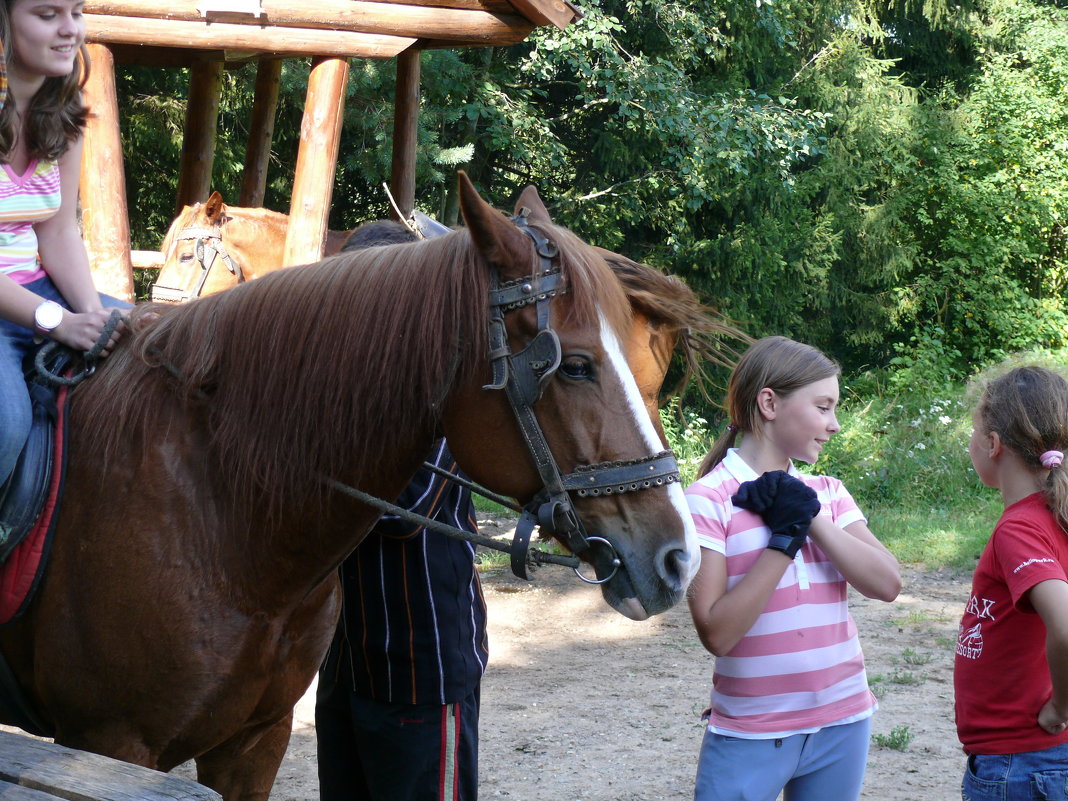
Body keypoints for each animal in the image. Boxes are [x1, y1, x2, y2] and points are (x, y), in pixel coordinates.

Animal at [0, 174, 704, 801]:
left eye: (189, 252)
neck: (217, 500)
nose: (678, 557)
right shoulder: (109, 745)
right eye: (577, 366)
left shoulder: (253, 743)